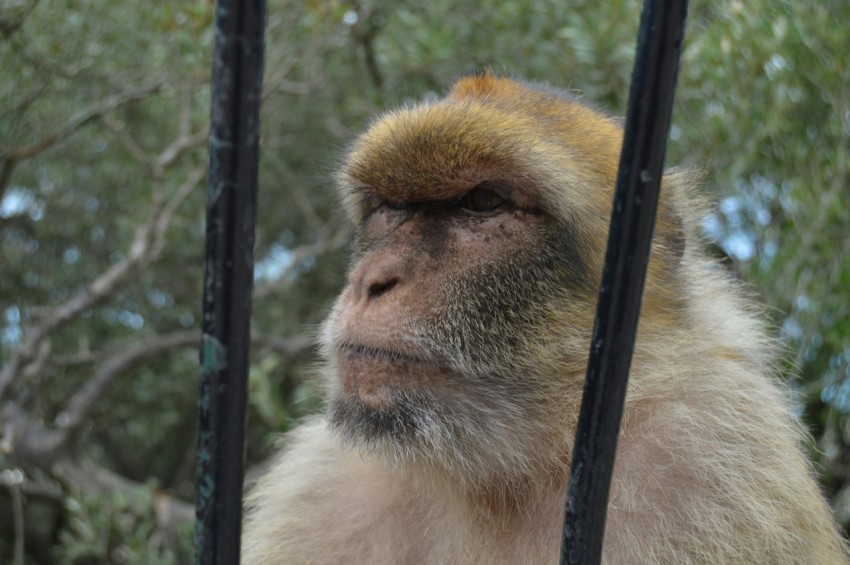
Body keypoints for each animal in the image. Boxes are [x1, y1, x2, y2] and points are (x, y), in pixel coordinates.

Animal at [241, 75, 848, 564]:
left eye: (484, 202)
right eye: (389, 207)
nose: (373, 280)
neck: (503, 472)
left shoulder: (721, 471)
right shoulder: (321, 487)